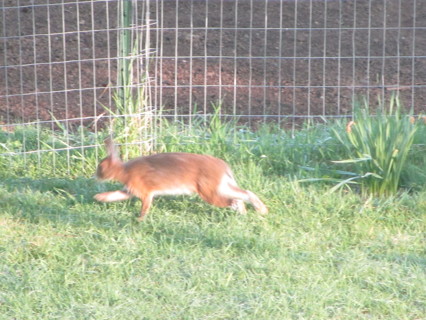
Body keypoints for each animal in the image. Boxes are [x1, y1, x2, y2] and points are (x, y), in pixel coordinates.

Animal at [94, 138, 266, 220]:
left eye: (100, 167)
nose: (95, 176)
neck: (124, 170)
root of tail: (223, 168)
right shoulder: (129, 191)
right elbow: (115, 195)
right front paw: (99, 197)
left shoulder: (146, 193)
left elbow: (145, 206)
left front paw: (139, 220)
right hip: (219, 187)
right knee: (243, 194)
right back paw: (256, 212)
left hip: (209, 192)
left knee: (233, 200)